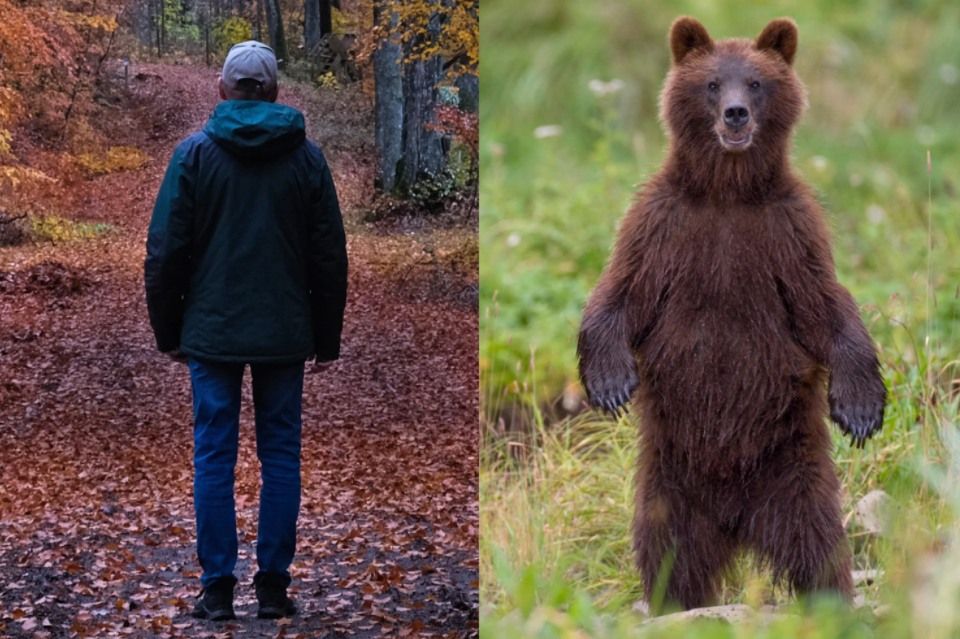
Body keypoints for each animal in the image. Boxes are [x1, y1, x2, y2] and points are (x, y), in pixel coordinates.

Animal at [576, 17, 884, 612]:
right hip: (669, 480)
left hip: (793, 469)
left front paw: (861, 407)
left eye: (757, 83)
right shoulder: (663, 227)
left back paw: (831, 599)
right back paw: (673, 603)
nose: (735, 113)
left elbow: (827, 309)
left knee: (818, 544)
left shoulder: (788, 235)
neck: (727, 192)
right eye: (713, 83)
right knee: (669, 550)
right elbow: (620, 293)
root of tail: (737, 522)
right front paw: (609, 382)